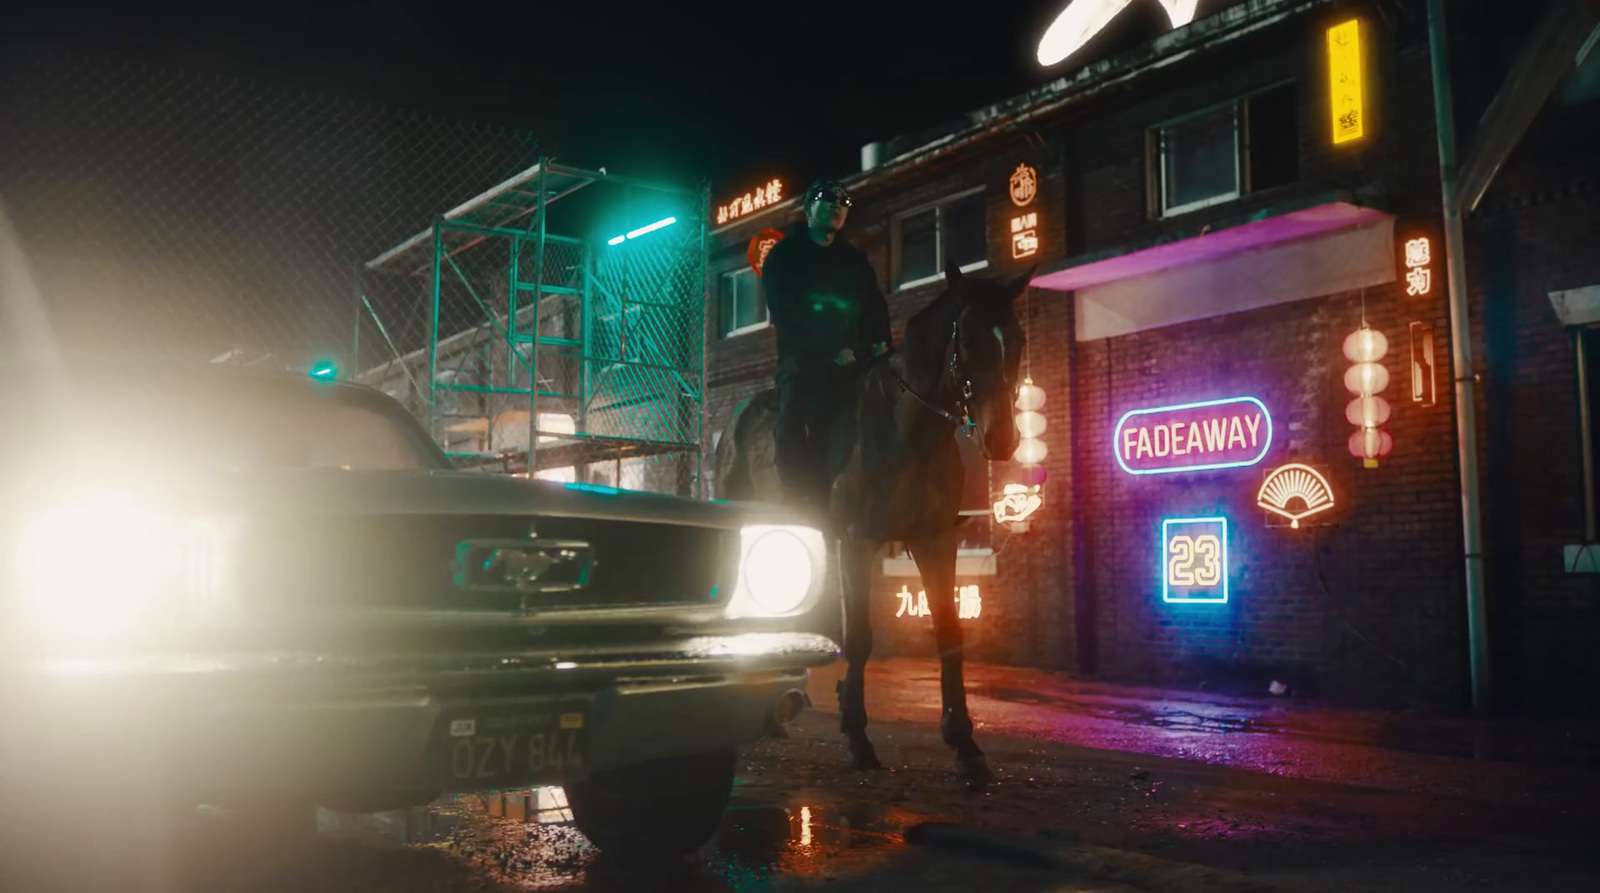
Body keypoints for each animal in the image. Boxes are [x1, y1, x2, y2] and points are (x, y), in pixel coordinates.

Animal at [716, 259, 1036, 784]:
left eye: (1018, 338)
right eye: (967, 338)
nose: (1002, 438)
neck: (909, 432)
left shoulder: (934, 541)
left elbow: (949, 633)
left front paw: (965, 743)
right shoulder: (857, 541)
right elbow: (861, 637)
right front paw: (857, 735)